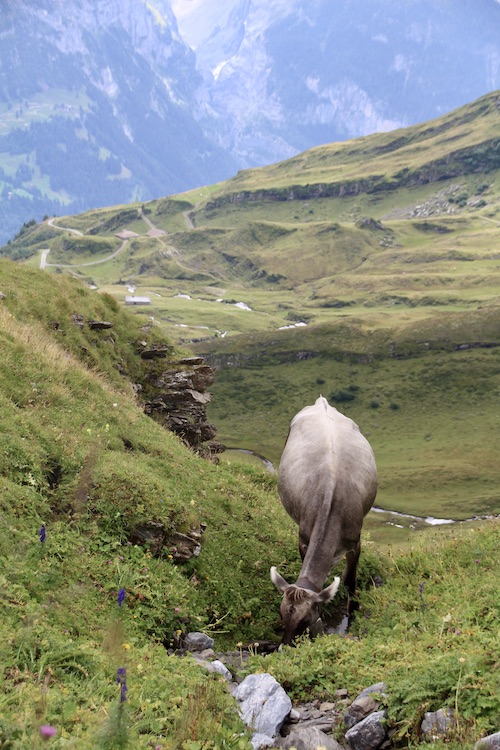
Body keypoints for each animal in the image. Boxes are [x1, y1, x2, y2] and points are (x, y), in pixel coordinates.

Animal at [272, 394, 376, 648]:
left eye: (304, 620)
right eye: (281, 614)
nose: (285, 648)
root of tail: (322, 402)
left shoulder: (355, 542)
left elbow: (350, 582)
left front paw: (351, 621)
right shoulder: (303, 537)